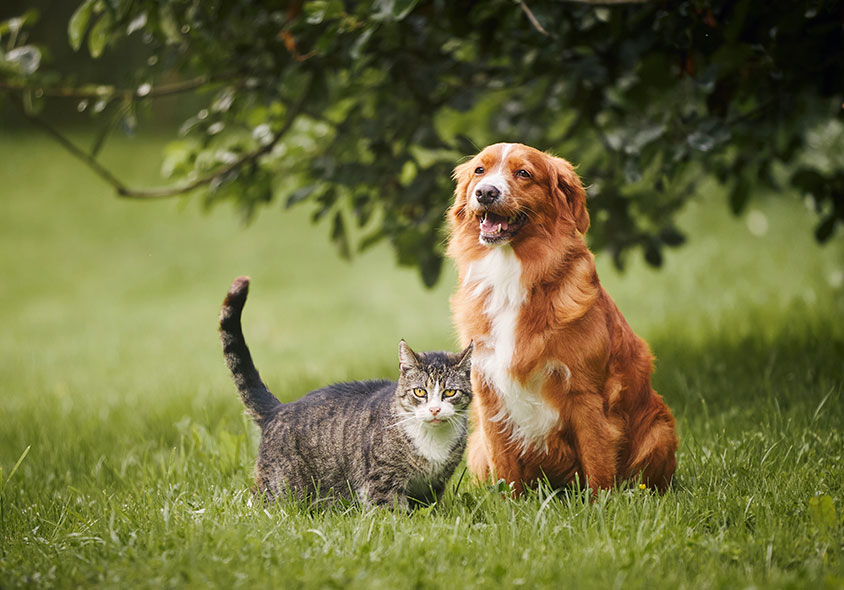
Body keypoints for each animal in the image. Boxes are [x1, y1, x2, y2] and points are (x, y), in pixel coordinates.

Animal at [219, 278, 474, 508]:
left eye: (450, 392)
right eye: (420, 391)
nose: (434, 409)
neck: (433, 442)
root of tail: (279, 408)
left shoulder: (433, 485)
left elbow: (428, 509)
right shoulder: (382, 481)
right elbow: (391, 512)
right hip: (281, 487)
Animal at [448, 142, 680, 494]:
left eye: (524, 173)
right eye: (479, 170)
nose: (485, 192)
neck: (511, 274)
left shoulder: (585, 393)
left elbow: (597, 463)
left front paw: (601, 505)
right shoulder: (489, 393)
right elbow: (505, 471)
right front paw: (508, 505)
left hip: (659, 431)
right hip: (476, 447)